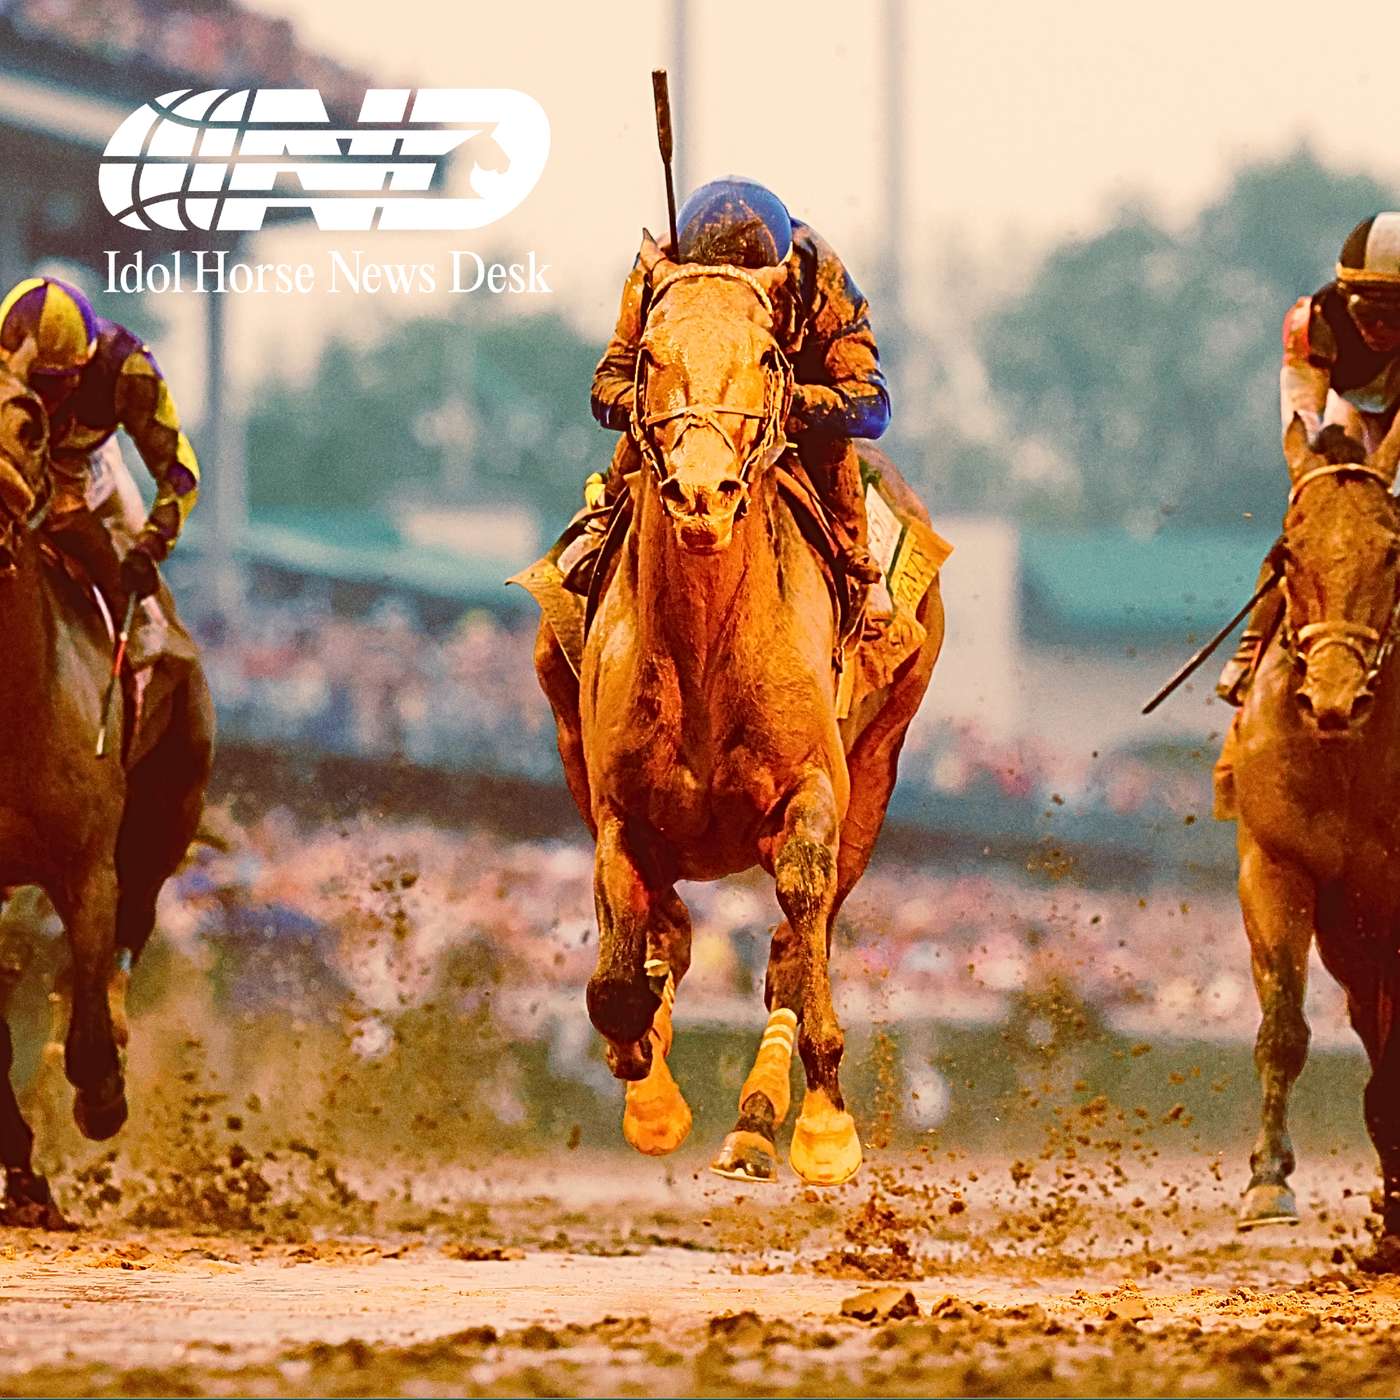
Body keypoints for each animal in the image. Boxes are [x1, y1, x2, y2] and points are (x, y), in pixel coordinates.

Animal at [527, 235, 944, 1186]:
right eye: (650, 355)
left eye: (768, 358)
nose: (702, 495)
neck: (706, 649)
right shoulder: (619, 807)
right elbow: (619, 981)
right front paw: (648, 1092)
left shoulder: (814, 792)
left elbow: (797, 923)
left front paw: (826, 1125)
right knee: (669, 933)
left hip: (880, 760)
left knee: (793, 944)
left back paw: (763, 1124)